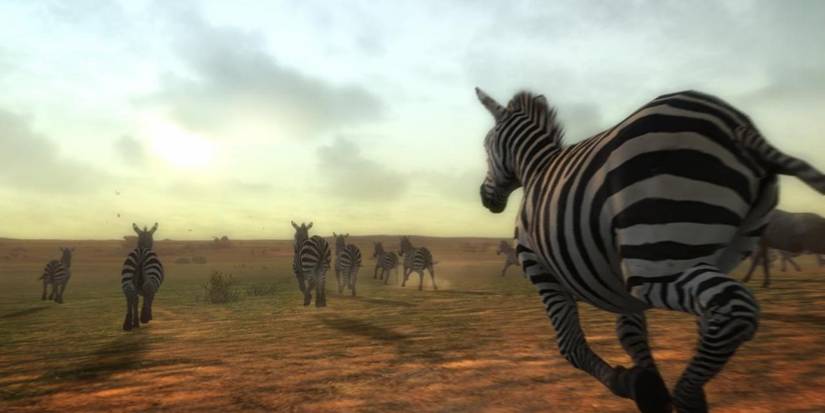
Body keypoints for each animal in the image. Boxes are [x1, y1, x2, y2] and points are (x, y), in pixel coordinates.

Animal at [474, 87, 825, 413]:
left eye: (487, 145)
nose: (484, 197)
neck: (536, 169)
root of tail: (734, 119)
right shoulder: (617, 273)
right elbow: (630, 334)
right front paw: (650, 387)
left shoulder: (540, 268)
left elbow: (571, 345)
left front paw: (632, 383)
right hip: (701, 251)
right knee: (714, 317)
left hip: (656, 258)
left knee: (731, 309)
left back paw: (685, 396)